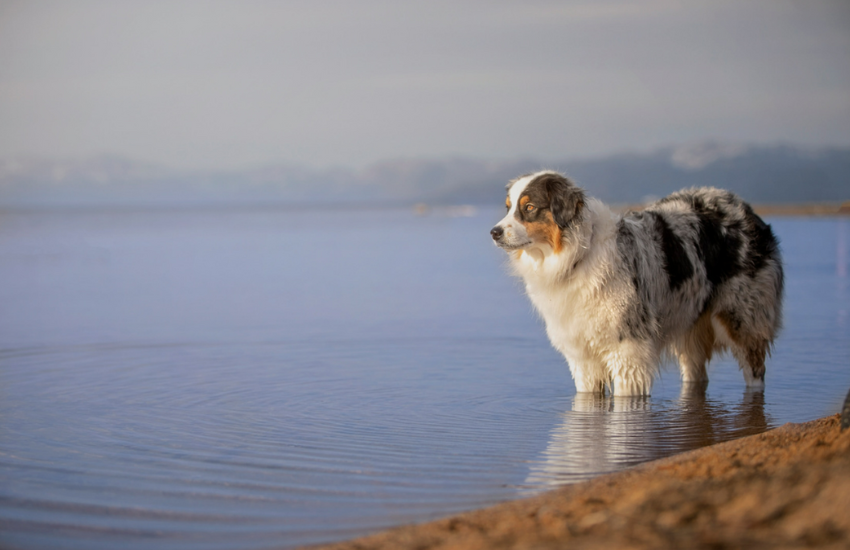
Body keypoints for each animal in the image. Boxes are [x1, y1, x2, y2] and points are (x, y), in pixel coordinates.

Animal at [490, 172, 780, 396]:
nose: (494, 232)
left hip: (743, 318)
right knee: (696, 371)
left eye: (529, 207)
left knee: (755, 370)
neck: (577, 257)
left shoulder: (628, 348)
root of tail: (744, 207)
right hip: (689, 324)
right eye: (508, 207)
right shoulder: (582, 356)